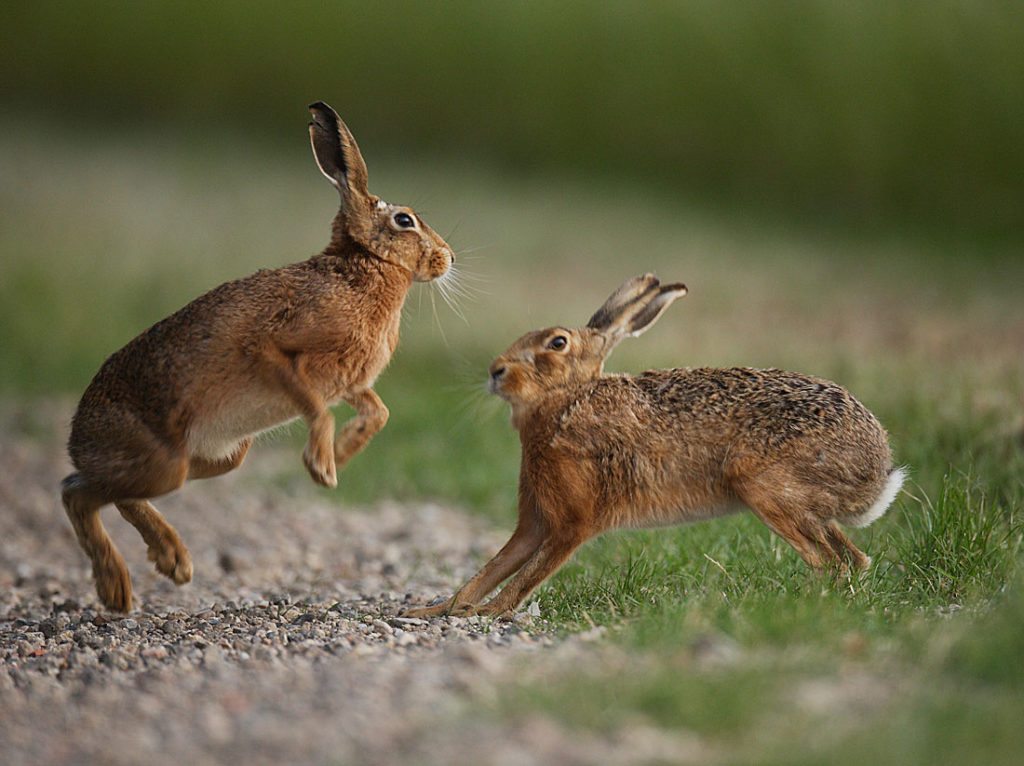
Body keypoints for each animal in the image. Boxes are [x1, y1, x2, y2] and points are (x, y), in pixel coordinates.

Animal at [61, 101, 455, 612]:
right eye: (405, 221)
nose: (448, 258)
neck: (361, 271)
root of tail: (77, 440)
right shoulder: (275, 349)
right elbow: (318, 410)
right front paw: (322, 466)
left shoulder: (350, 383)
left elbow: (378, 411)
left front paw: (342, 455)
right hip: (162, 464)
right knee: (78, 493)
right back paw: (122, 582)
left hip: (217, 459)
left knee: (94, 491)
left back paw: (166, 563)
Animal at [405, 274, 905, 618]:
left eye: (557, 343)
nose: (496, 371)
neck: (567, 400)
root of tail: (877, 468)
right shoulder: (535, 520)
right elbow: (491, 568)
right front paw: (436, 610)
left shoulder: (574, 523)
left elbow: (527, 576)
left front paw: (484, 613)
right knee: (852, 558)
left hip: (765, 487)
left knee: (828, 562)